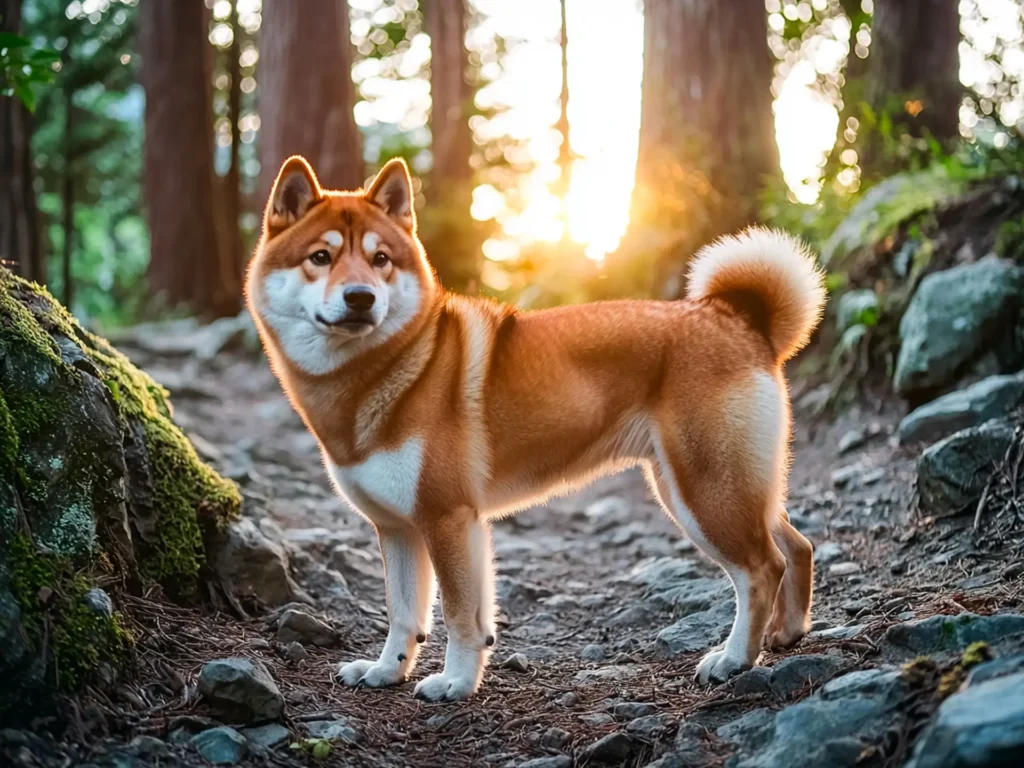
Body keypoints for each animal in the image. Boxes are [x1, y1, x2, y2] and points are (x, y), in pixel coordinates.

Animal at [243, 156, 827, 704]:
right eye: (321, 257)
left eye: (379, 259)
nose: (361, 297)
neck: (390, 368)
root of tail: (741, 319)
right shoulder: (399, 528)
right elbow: (405, 613)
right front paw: (388, 671)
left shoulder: (447, 518)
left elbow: (459, 616)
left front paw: (455, 684)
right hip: (726, 487)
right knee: (797, 546)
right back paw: (788, 633)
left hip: (704, 494)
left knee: (762, 568)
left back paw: (735, 659)